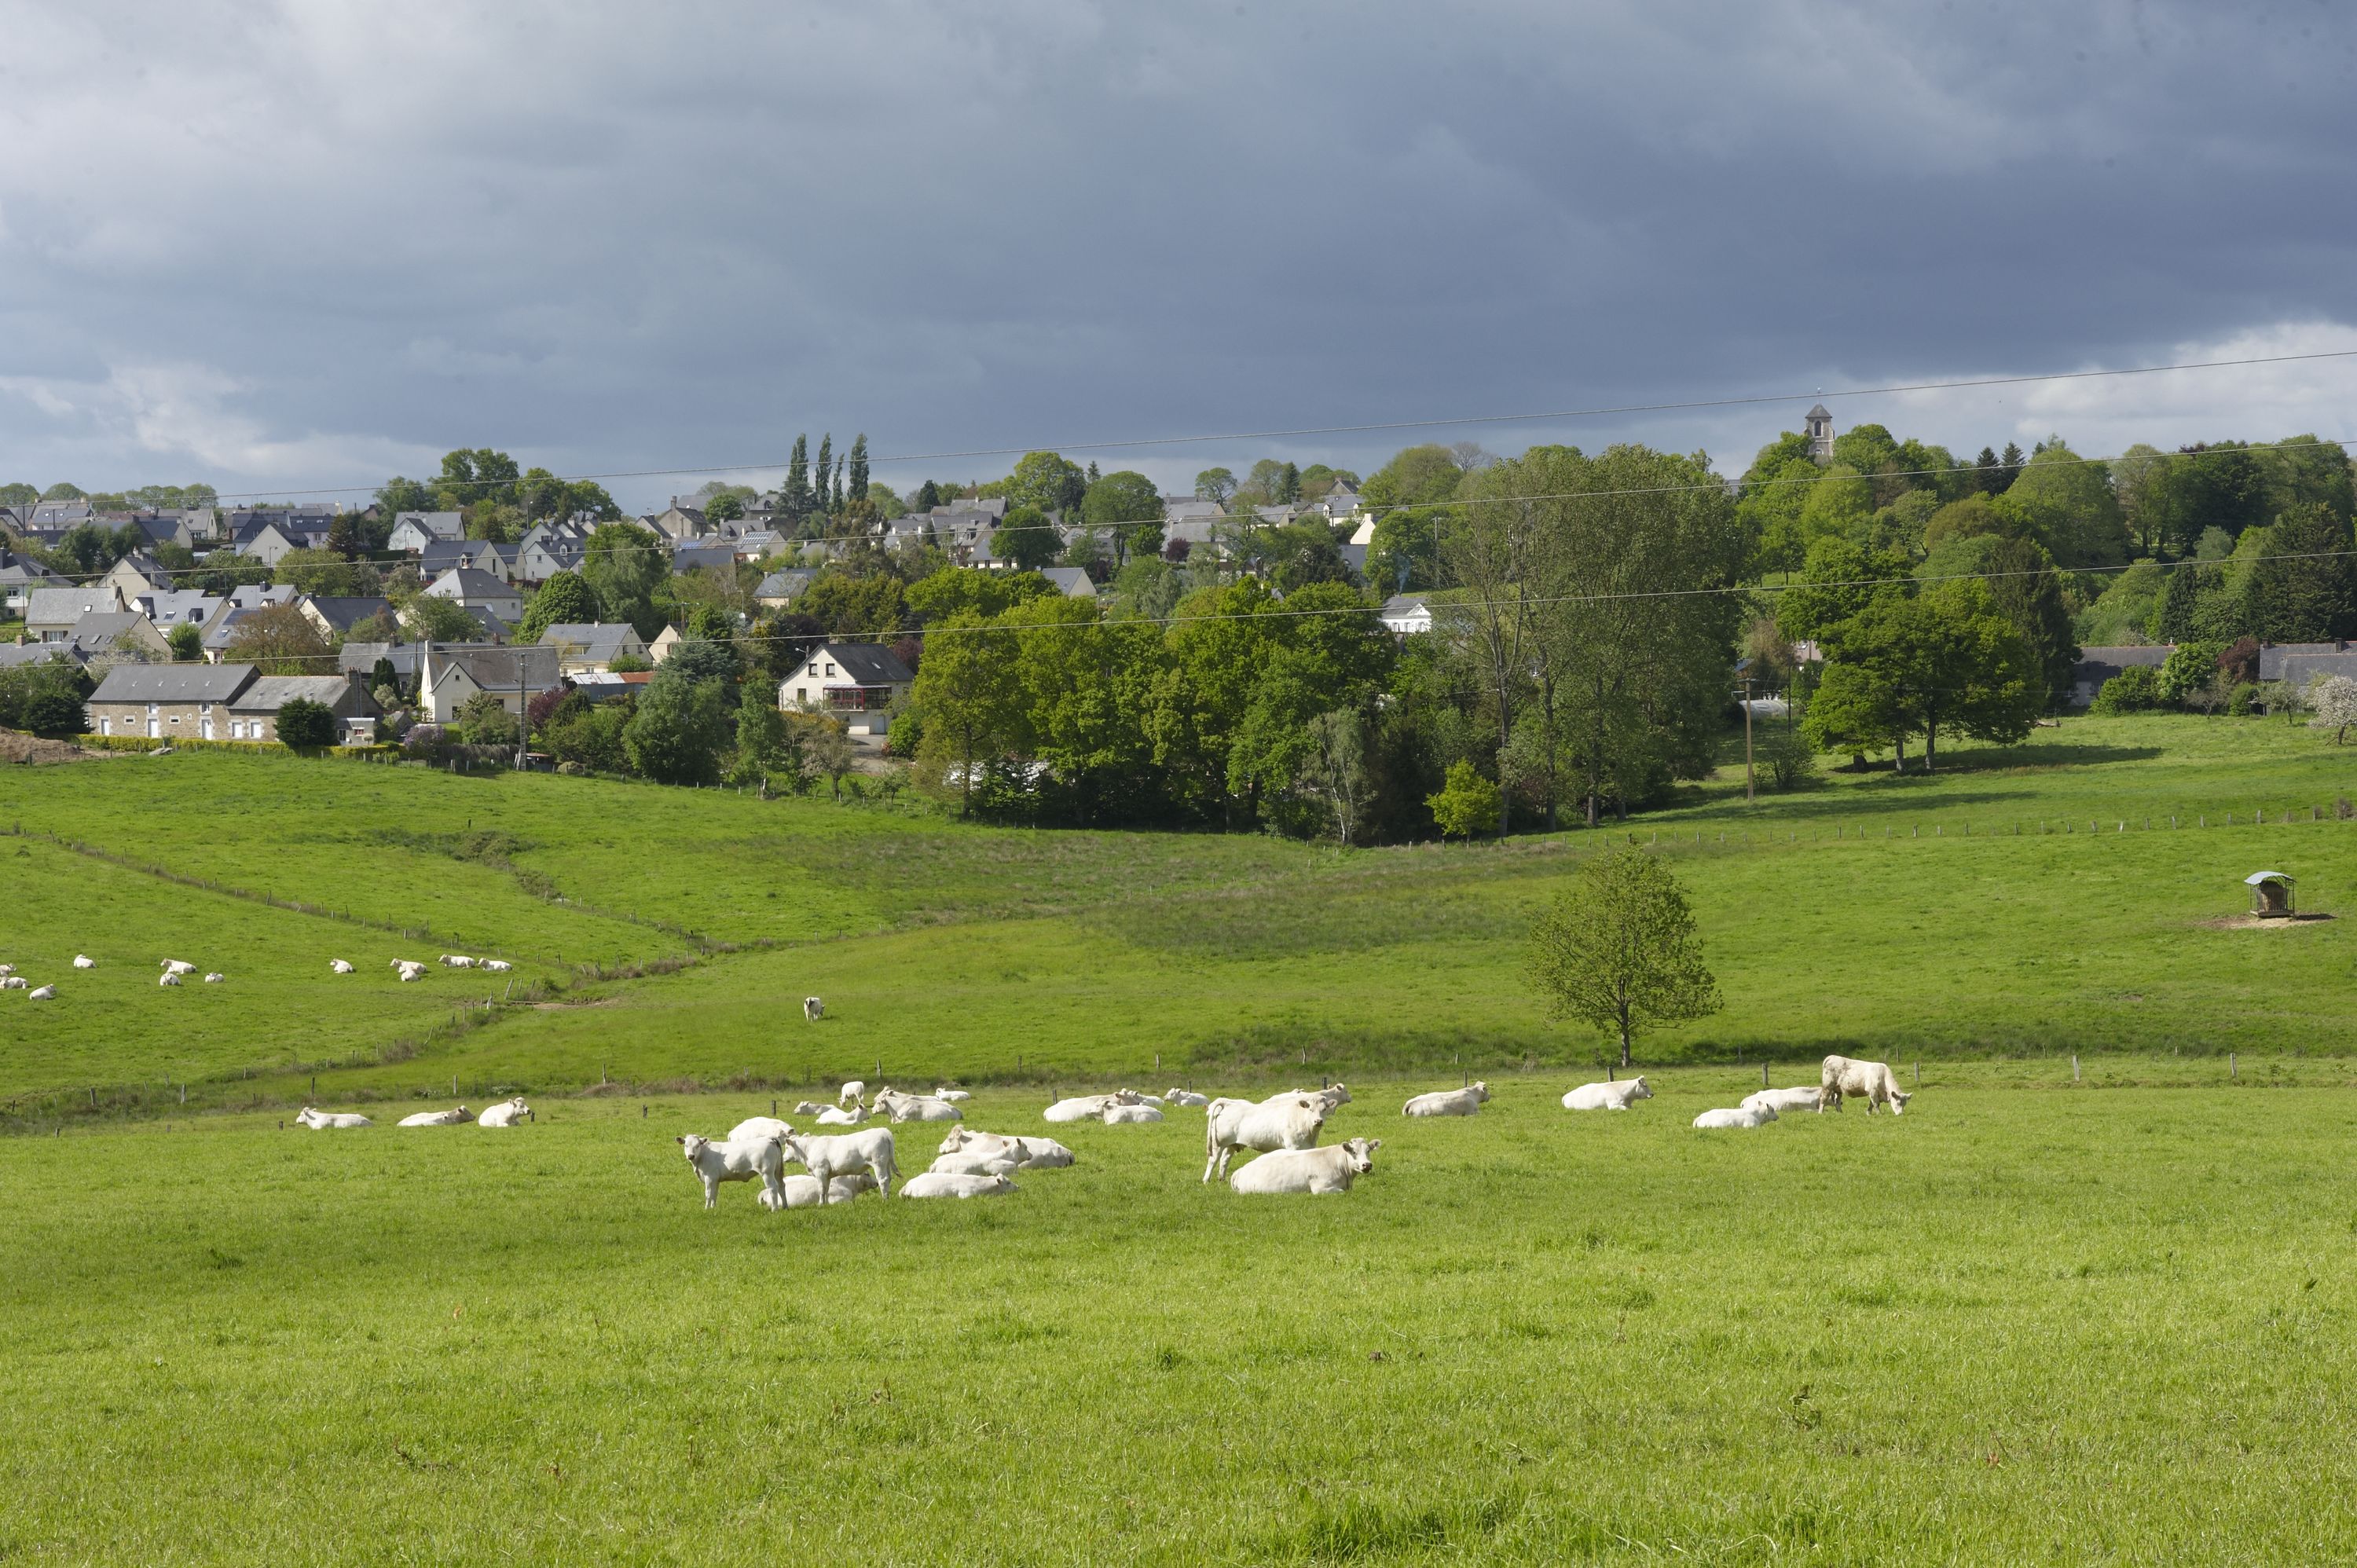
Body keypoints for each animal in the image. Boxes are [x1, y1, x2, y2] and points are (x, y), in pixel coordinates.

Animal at [676, 1132, 786, 1210]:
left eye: (697, 1145)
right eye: (686, 1145)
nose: (691, 1156)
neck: (703, 1155)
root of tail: (767, 1138)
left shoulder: (709, 1178)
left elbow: (708, 1194)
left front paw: (706, 1209)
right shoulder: (715, 1179)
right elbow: (714, 1194)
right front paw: (712, 1208)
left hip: (767, 1173)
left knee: (773, 1187)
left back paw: (774, 1209)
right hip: (777, 1171)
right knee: (782, 1185)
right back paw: (785, 1207)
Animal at [778, 1127, 899, 1199]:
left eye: (787, 1147)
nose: (783, 1158)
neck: (809, 1149)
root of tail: (884, 1132)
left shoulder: (820, 1171)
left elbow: (821, 1189)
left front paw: (820, 1204)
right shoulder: (827, 1174)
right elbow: (826, 1189)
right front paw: (825, 1204)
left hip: (879, 1163)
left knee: (883, 1180)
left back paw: (884, 1199)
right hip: (887, 1163)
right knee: (889, 1178)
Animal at [1202, 1093, 1327, 1183]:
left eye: (1324, 1109)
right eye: (1310, 1109)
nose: (1318, 1121)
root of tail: (1229, 1103)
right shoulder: (1293, 1146)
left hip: (1231, 1144)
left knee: (1224, 1160)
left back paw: (1222, 1179)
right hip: (1218, 1144)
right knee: (1213, 1160)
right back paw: (1206, 1180)